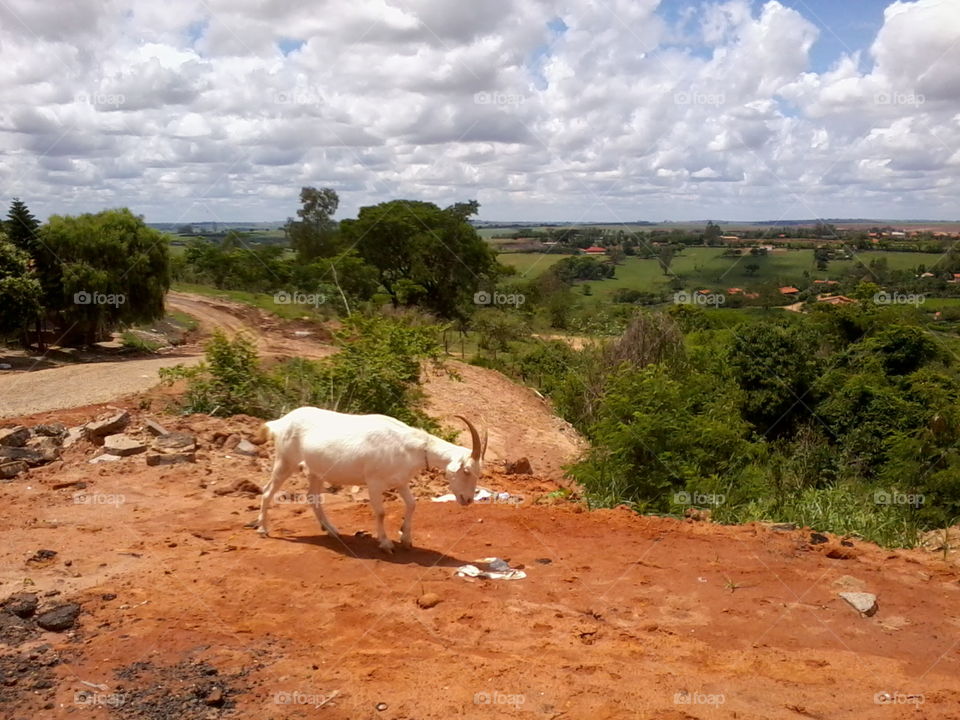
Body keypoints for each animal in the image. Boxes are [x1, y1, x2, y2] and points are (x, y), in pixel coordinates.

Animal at [251, 407, 488, 552]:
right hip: (285, 461)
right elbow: (381, 512)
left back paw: (331, 530)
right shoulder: (374, 482)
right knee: (268, 490)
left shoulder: (400, 481)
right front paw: (385, 544)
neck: (410, 445)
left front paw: (406, 539)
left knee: (313, 497)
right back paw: (263, 529)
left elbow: (412, 504)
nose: (467, 500)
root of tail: (282, 422)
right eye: (467, 470)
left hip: (316, 471)